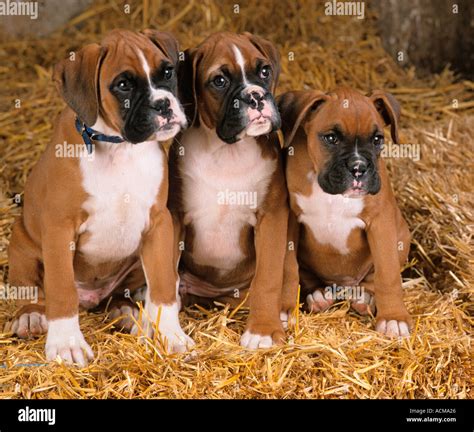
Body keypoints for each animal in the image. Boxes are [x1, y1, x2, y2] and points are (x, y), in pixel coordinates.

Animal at [6, 27, 194, 364]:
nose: (163, 104)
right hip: (21, 244)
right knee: (33, 293)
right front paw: (67, 344)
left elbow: (163, 285)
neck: (119, 146)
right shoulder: (59, 229)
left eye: (167, 73)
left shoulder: (159, 224)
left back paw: (129, 314)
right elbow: (61, 289)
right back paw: (30, 316)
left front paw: (171, 335)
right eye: (123, 85)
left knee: (122, 296)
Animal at [169, 31, 288, 348]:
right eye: (219, 81)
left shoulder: (271, 217)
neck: (228, 152)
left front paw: (262, 330)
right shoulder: (175, 217)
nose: (255, 96)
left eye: (264, 71)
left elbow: (268, 280)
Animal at [280, 88, 412, 338]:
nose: (359, 167)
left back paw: (365, 298)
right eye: (331, 138)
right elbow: (287, 269)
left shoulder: (381, 224)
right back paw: (319, 296)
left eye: (377, 139)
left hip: (402, 235)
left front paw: (394, 318)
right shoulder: (289, 220)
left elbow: (388, 273)